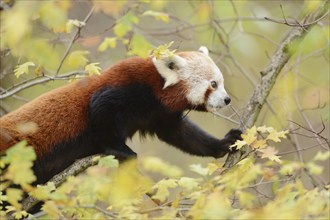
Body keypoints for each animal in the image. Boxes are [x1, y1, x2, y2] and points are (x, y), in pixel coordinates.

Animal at [0, 47, 242, 184]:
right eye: (213, 84)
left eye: (221, 83)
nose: (227, 100)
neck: (155, 88)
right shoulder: (125, 88)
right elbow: (101, 111)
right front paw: (120, 150)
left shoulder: (159, 114)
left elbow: (184, 136)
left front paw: (223, 143)